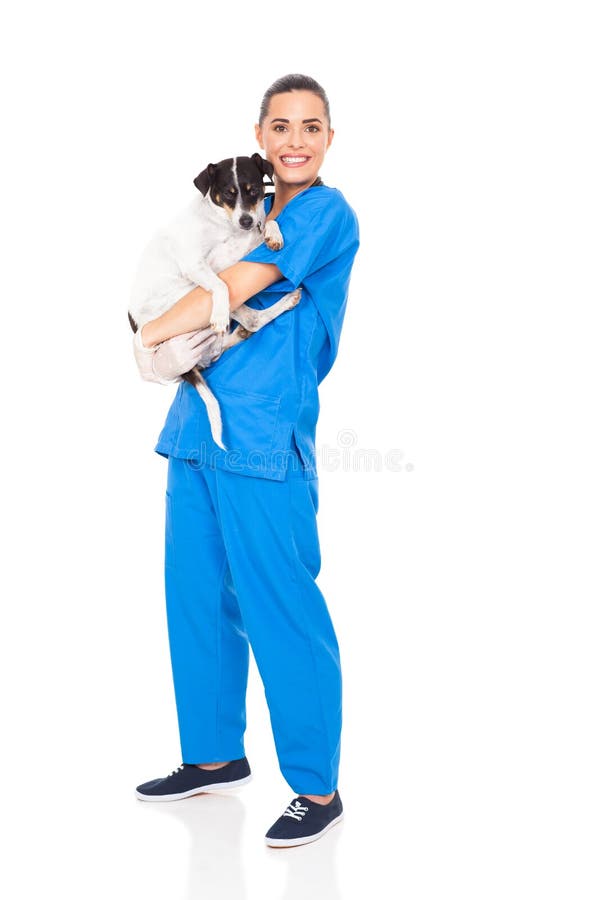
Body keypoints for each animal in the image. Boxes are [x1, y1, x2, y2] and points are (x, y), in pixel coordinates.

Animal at [129, 155, 302, 454]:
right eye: (229, 193)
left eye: (253, 190)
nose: (246, 221)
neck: (223, 221)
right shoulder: (203, 265)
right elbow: (222, 284)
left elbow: (268, 222)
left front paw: (273, 232)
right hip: (189, 294)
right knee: (250, 320)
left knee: (228, 342)